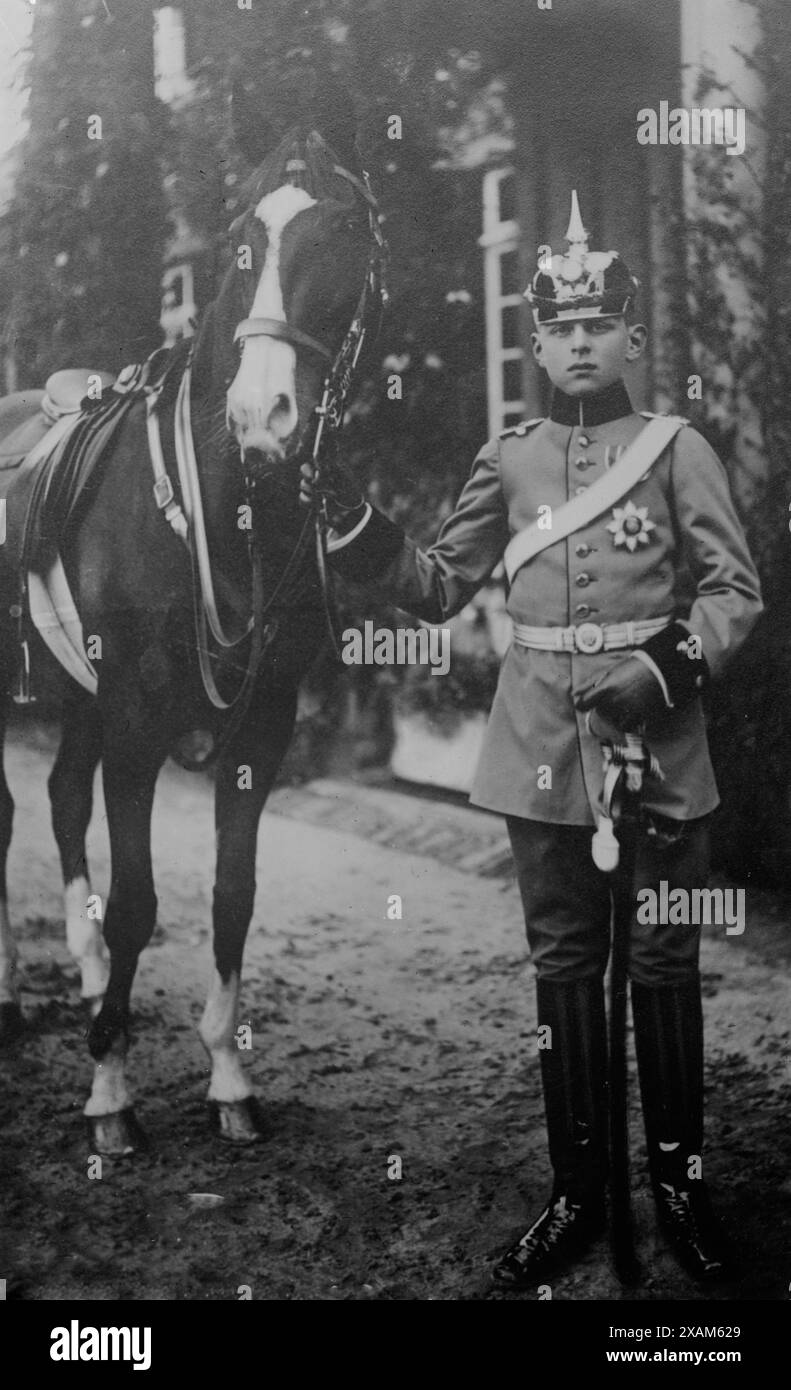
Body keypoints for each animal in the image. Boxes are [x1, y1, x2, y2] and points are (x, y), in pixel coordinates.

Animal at [0, 81, 386, 1156]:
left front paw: (225, 1076)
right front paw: (109, 1092)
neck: (223, 507)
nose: (262, 418)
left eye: (345, 233)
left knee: (57, 799)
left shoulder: (259, 727)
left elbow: (229, 898)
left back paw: (85, 971)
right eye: (241, 245)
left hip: (76, 703)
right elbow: (140, 903)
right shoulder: (135, 724)